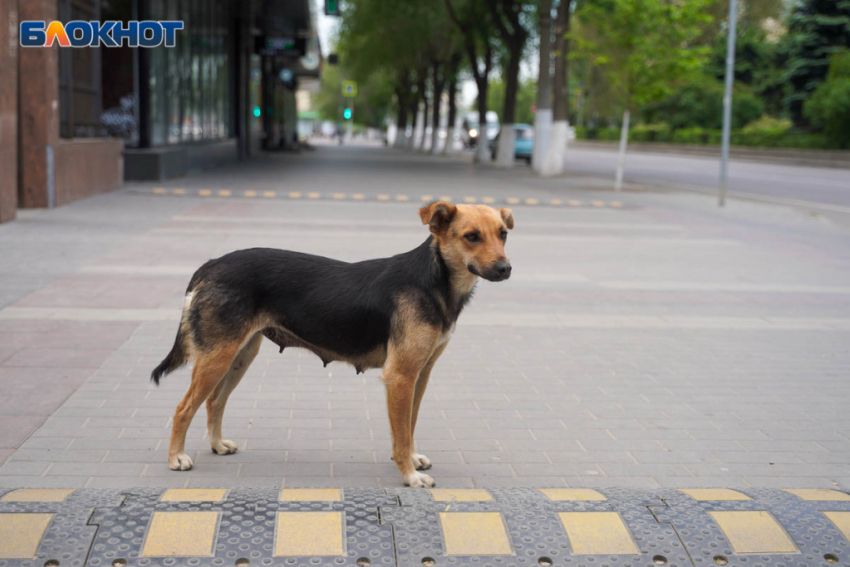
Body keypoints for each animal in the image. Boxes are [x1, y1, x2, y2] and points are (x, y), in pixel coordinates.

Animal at [151, 204, 510, 488]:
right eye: (471, 236)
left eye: (503, 233)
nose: (506, 268)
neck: (433, 280)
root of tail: (212, 264)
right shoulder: (401, 376)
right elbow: (400, 432)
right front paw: (409, 475)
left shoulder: (420, 374)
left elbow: (409, 424)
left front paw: (412, 457)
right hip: (218, 355)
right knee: (184, 407)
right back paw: (176, 457)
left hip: (240, 354)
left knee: (214, 401)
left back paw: (216, 444)